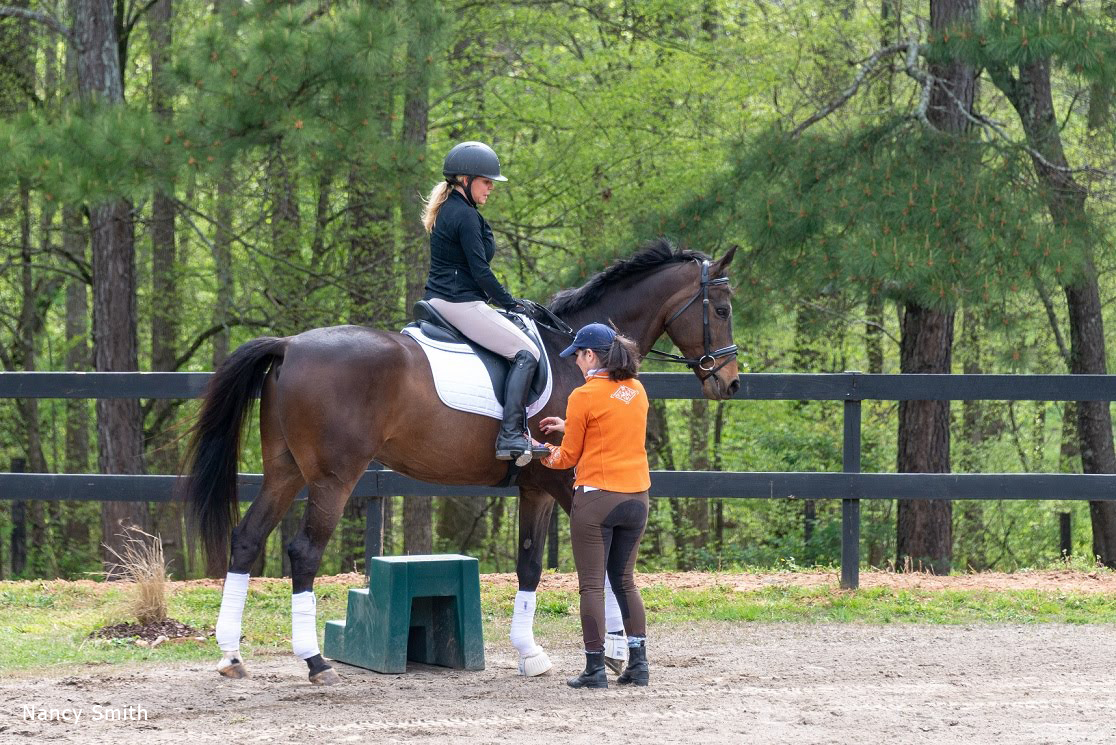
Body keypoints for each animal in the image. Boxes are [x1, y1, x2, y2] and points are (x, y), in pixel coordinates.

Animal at [184, 238, 739, 685]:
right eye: (723, 309)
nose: (730, 383)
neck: (574, 349)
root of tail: (289, 345)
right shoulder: (566, 479)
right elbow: (602, 563)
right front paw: (619, 654)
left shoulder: (536, 487)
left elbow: (530, 564)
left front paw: (530, 653)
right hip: (333, 478)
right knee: (303, 553)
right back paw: (315, 662)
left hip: (285, 471)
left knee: (247, 538)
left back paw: (231, 656)